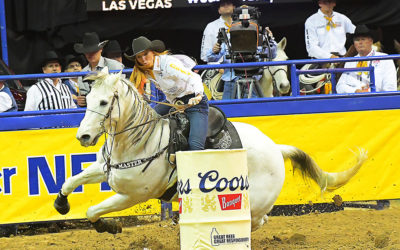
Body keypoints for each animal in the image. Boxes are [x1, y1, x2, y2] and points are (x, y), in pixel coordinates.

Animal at [54, 67, 368, 234]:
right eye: (88, 99)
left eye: (105, 102)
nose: (83, 136)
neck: (140, 143)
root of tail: (276, 149)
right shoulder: (104, 170)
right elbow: (69, 182)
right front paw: (62, 204)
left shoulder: (132, 195)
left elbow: (93, 209)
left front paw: (109, 227)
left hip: (255, 203)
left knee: (257, 221)